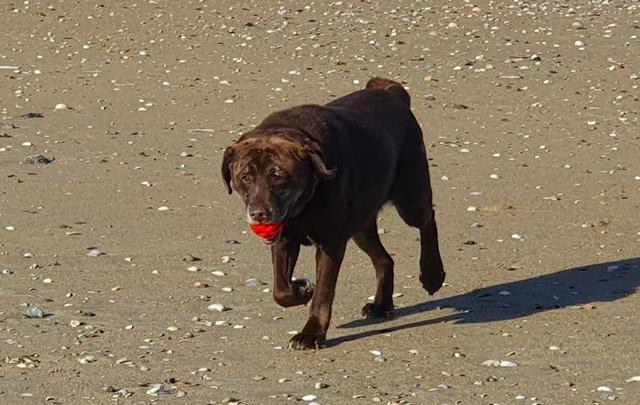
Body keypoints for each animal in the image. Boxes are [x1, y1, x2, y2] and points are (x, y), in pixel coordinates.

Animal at [221, 77, 444, 348]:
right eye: (246, 177)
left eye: (278, 176)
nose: (259, 214)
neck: (304, 205)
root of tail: (391, 91)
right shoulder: (284, 239)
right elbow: (280, 289)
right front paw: (302, 289)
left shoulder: (330, 244)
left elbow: (324, 292)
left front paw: (311, 333)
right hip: (360, 226)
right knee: (384, 259)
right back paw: (381, 305)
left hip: (411, 197)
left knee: (427, 221)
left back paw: (432, 274)